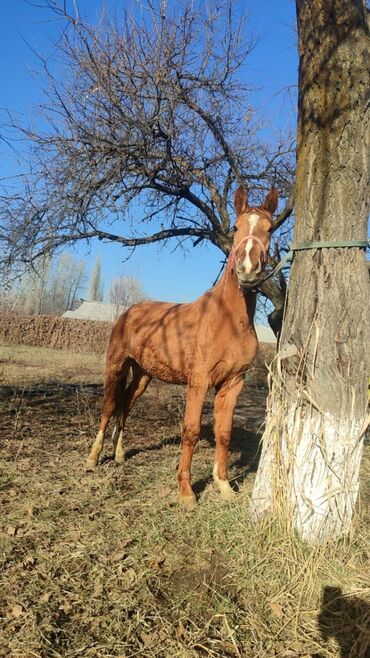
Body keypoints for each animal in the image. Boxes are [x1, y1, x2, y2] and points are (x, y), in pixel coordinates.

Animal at [86, 186, 278, 508]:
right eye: (236, 227)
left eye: (270, 229)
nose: (248, 269)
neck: (229, 320)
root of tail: (128, 312)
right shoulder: (198, 382)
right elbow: (190, 431)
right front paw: (187, 492)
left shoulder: (233, 383)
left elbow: (224, 432)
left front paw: (223, 485)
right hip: (115, 366)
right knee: (109, 406)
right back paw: (93, 457)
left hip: (143, 375)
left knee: (125, 406)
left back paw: (120, 454)